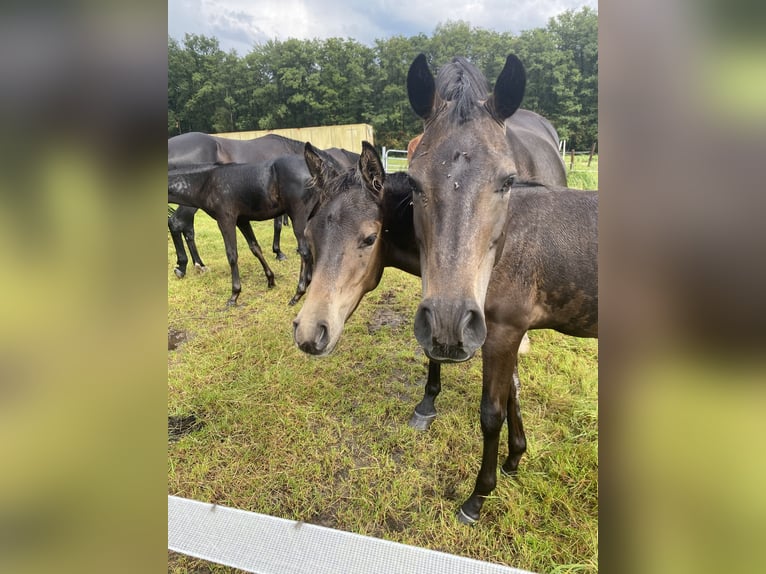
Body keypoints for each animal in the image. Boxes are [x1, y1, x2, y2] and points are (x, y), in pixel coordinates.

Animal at [294, 141, 600, 528]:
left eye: (369, 237)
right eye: (308, 236)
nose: (309, 332)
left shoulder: (502, 332)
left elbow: (492, 414)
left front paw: (477, 499)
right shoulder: (508, 333)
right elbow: (514, 394)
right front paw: (515, 459)